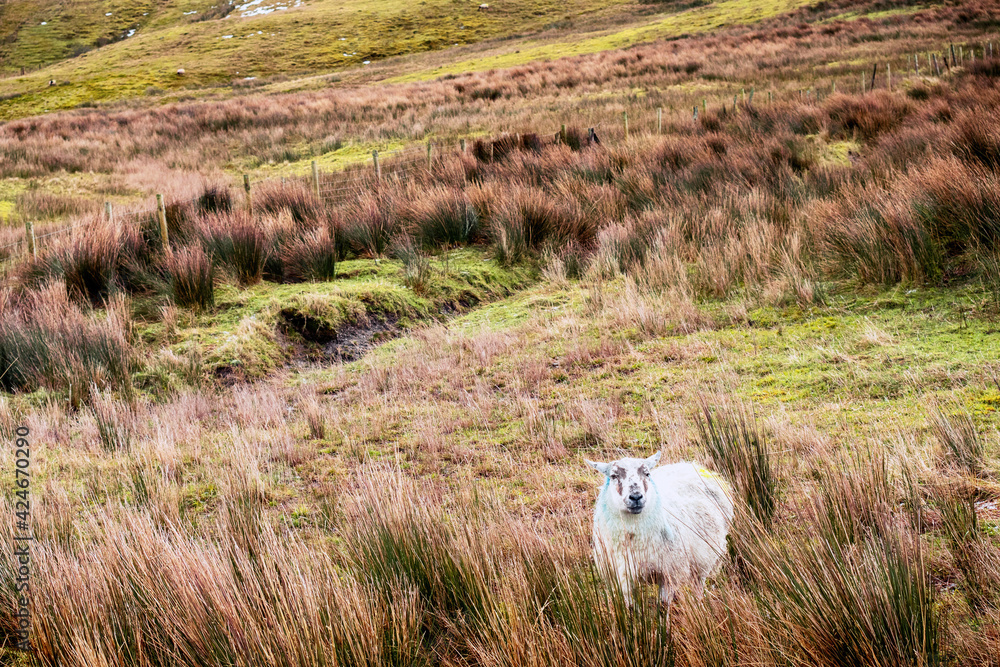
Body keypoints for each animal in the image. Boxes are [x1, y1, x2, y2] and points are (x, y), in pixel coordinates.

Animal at [585, 452, 734, 611]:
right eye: (613, 476)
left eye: (647, 473)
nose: (636, 497)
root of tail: (691, 465)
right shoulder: (622, 573)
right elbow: (630, 606)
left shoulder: (669, 572)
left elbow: (662, 605)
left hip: (705, 556)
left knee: (698, 583)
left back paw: (698, 606)